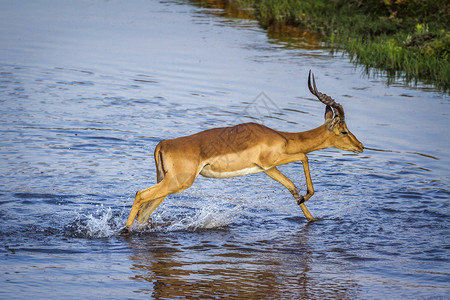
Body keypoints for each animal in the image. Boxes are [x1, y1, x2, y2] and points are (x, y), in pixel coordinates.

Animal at [122, 70, 362, 232]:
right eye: (343, 130)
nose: (360, 146)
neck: (283, 138)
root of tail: (163, 143)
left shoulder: (267, 168)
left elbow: (292, 188)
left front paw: (311, 216)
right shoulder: (273, 160)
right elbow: (304, 156)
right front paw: (308, 196)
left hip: (169, 184)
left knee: (145, 210)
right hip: (178, 183)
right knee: (140, 194)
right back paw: (125, 230)